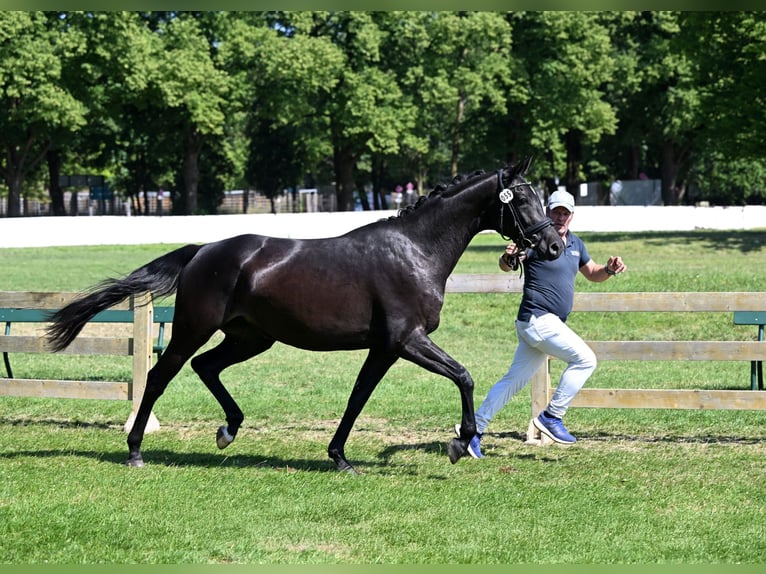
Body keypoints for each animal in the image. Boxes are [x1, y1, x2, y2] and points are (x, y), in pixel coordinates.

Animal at [45, 156, 563, 473]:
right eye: (520, 198)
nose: (553, 245)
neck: (415, 250)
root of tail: (202, 251)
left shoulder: (384, 348)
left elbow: (359, 397)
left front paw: (340, 456)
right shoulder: (404, 340)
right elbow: (462, 375)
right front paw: (459, 444)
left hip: (251, 337)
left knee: (205, 366)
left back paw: (228, 430)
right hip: (195, 328)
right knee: (160, 376)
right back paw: (136, 450)